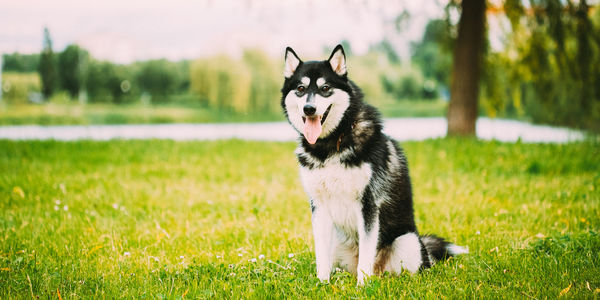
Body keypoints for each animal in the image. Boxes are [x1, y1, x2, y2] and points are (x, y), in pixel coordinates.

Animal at [282, 44, 468, 284]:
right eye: (301, 88)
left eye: (325, 88)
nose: (309, 109)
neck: (332, 144)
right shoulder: (319, 205)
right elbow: (321, 255)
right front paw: (322, 283)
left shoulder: (368, 204)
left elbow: (367, 251)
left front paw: (362, 286)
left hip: (407, 242)